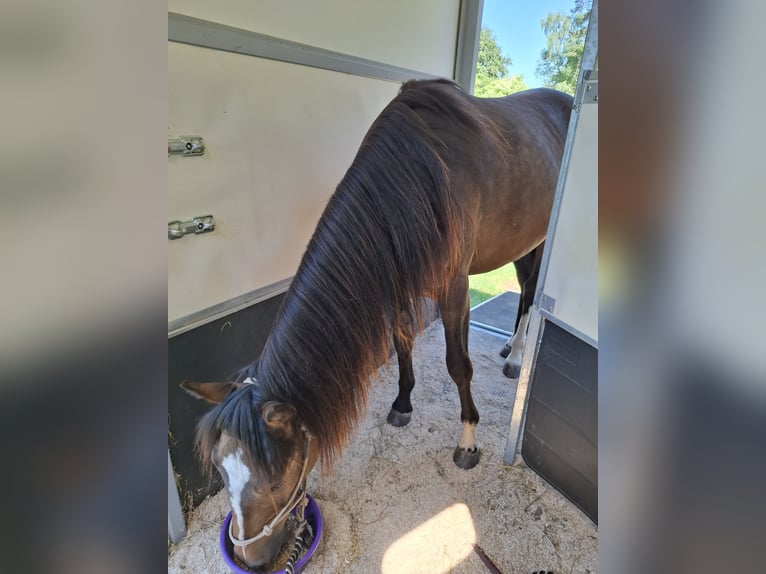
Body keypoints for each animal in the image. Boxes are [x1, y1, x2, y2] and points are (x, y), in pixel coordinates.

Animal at [182, 79, 572, 570]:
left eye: (275, 480)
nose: (251, 558)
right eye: (219, 470)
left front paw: (467, 441)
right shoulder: (399, 281)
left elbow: (457, 364)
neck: (418, 178)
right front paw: (403, 403)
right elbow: (402, 341)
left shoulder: (454, 287)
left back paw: (517, 356)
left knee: (529, 290)